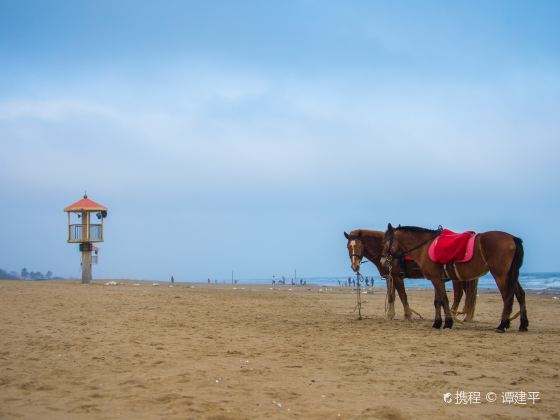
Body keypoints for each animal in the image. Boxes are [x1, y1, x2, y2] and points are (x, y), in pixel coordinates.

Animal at [344, 231, 480, 320]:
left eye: (360, 245)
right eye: (348, 246)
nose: (355, 266)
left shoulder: (397, 277)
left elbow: (402, 295)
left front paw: (407, 315)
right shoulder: (389, 277)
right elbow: (391, 295)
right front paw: (390, 315)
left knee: (458, 294)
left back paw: (454, 315)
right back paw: (467, 317)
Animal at [380, 225, 524, 334]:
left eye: (386, 241)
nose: (382, 261)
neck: (426, 247)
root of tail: (512, 238)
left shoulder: (436, 279)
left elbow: (444, 300)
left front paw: (447, 322)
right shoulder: (437, 279)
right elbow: (438, 301)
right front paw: (438, 323)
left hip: (500, 275)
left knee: (507, 297)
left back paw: (502, 325)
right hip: (511, 275)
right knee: (520, 294)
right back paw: (523, 324)